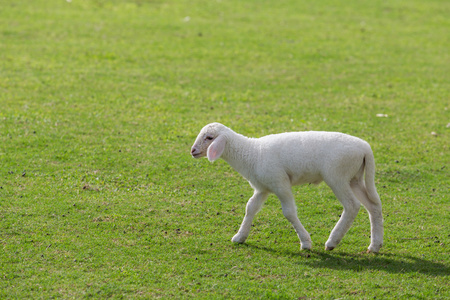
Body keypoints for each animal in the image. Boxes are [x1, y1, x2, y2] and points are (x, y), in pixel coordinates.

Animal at [190, 122, 384, 253]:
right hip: (355, 178)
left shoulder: (280, 183)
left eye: (209, 138)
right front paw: (240, 237)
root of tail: (365, 148)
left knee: (352, 206)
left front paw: (305, 243)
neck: (251, 153)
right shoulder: (263, 187)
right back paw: (375, 245)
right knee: (373, 206)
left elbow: (289, 212)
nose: (192, 151)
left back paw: (332, 242)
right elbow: (250, 207)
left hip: (337, 176)